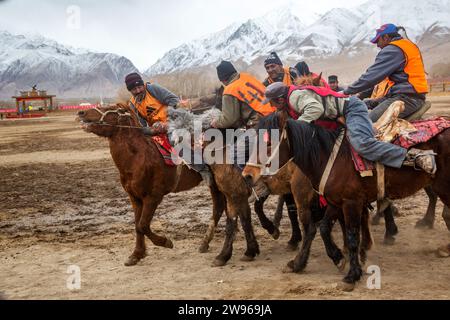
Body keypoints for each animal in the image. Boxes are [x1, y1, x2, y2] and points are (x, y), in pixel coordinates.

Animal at [250, 112, 450, 290]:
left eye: (269, 143)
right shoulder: (335, 202)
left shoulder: (350, 203)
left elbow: (351, 236)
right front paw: (334, 258)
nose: (249, 175)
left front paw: (352, 276)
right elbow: (324, 229)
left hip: (443, 186)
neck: (329, 157)